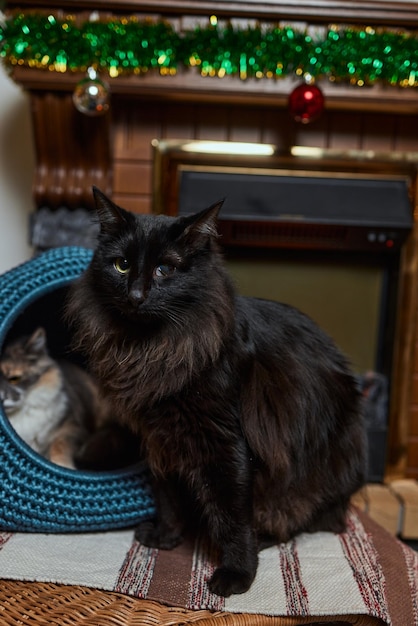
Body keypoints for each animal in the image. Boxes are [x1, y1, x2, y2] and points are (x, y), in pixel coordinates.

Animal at [65, 188, 366, 596]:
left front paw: (238, 573)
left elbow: (233, 515)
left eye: (165, 269)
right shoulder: (160, 438)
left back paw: (265, 537)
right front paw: (167, 537)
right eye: (122, 266)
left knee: (303, 520)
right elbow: (167, 497)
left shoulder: (225, 442)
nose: (137, 295)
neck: (152, 349)